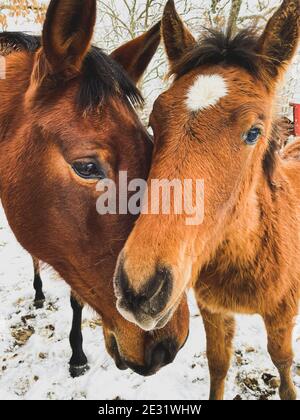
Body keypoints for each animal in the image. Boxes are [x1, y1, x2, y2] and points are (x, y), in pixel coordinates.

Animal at [114, 0, 300, 400]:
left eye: (254, 132)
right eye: (153, 122)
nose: (139, 288)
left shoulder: (281, 315)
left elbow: (282, 366)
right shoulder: (214, 311)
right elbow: (218, 365)